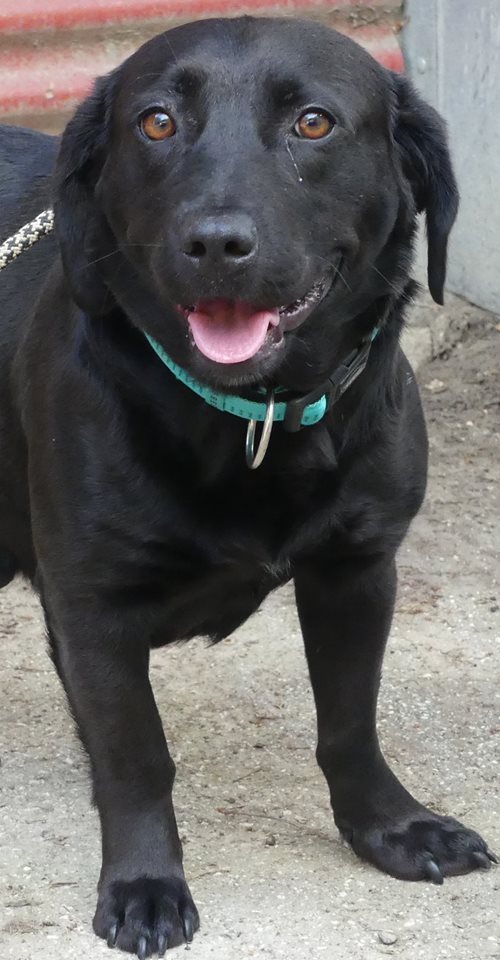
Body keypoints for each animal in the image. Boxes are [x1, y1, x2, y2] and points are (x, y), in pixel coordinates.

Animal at [0, 15, 495, 959]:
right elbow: (137, 756)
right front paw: (145, 882)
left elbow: (350, 722)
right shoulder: (90, 607)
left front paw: (387, 826)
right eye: (156, 123)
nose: (216, 244)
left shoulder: (357, 573)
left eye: (314, 123)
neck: (251, 416)